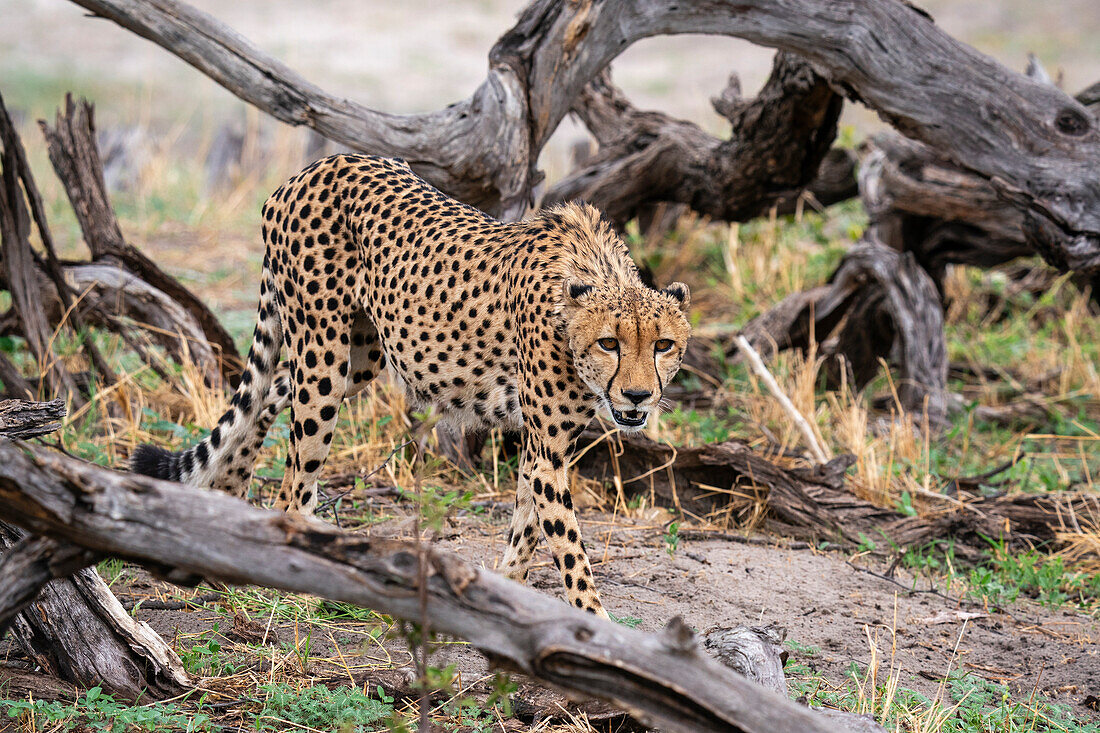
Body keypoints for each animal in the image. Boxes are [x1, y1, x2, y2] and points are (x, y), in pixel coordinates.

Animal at [130, 150, 686, 611]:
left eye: (663, 345)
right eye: (609, 344)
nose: (638, 396)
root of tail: (315, 166)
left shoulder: (548, 446)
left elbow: (527, 527)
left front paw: (508, 594)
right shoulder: (548, 448)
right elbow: (570, 551)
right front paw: (599, 635)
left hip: (360, 356)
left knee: (270, 394)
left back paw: (232, 485)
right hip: (323, 355)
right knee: (294, 476)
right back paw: (291, 576)